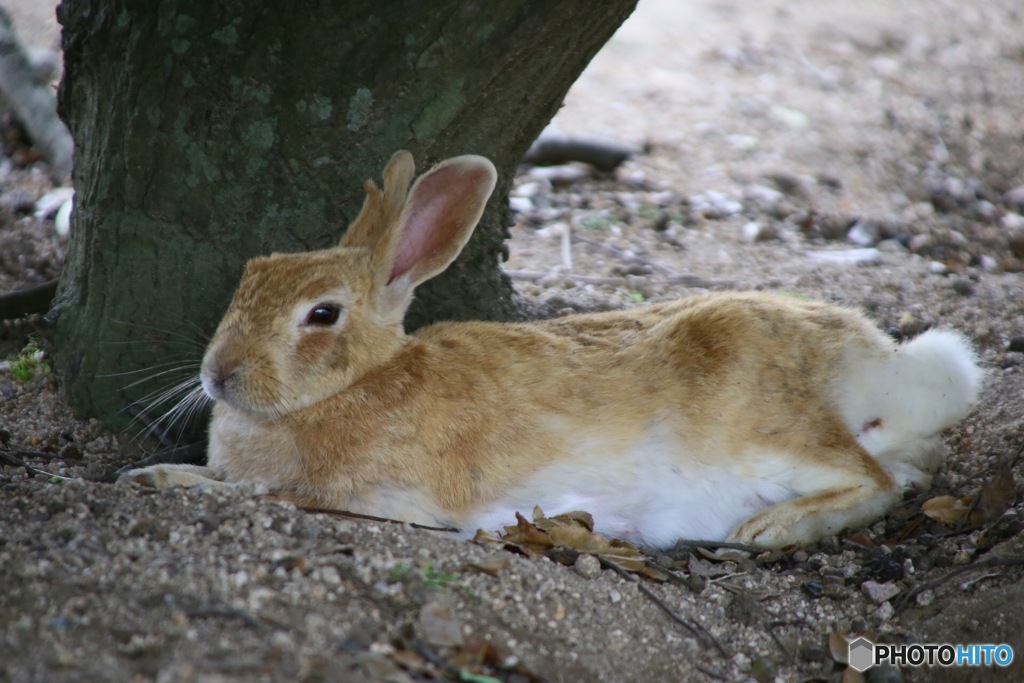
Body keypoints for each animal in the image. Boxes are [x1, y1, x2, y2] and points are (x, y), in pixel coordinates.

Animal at [123, 150, 978, 548]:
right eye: (252, 272)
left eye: (322, 314)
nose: (217, 374)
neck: (356, 382)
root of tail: (887, 369)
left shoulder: (377, 497)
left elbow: (257, 493)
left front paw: (159, 478)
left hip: (769, 430)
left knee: (875, 479)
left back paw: (771, 529)